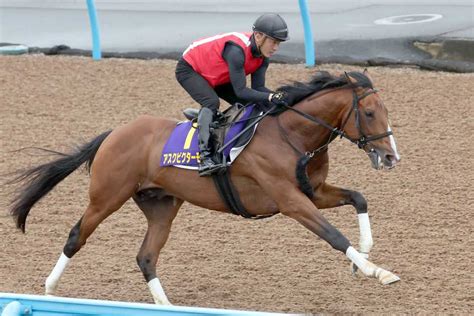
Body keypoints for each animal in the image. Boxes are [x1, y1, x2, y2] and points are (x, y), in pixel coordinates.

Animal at [8, 68, 400, 304]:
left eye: (386, 111)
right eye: (368, 113)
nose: (391, 156)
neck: (292, 134)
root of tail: (114, 133)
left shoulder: (313, 193)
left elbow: (359, 198)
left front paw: (365, 256)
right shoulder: (290, 201)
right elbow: (334, 235)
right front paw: (377, 271)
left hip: (161, 205)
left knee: (146, 256)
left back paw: (165, 305)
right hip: (106, 197)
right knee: (77, 236)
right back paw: (49, 291)